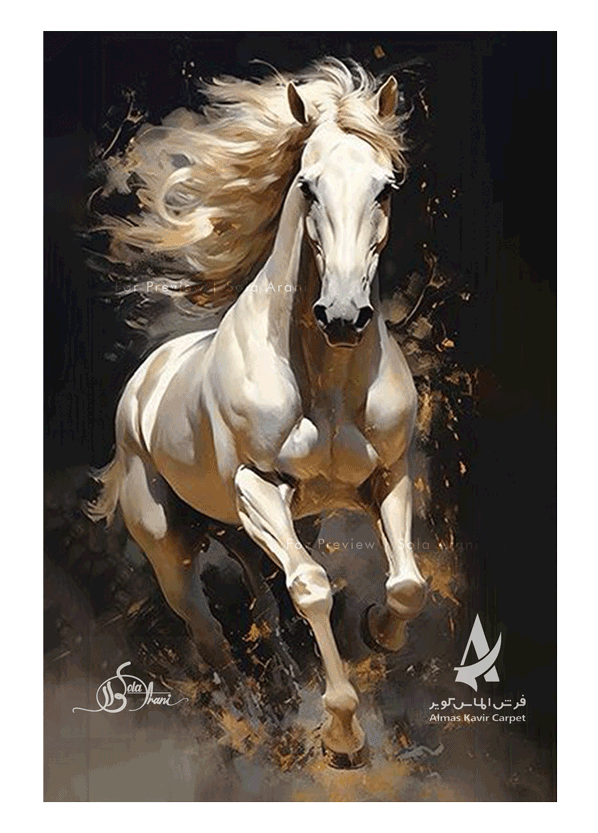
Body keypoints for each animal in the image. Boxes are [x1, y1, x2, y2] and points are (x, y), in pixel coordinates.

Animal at [87, 59, 428, 769]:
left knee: (266, 608)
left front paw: (378, 633)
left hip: (245, 532)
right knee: (212, 633)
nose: (344, 316)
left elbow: (405, 585)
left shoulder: (389, 476)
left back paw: (289, 690)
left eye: (385, 188)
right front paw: (343, 732)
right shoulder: (257, 487)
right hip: (175, 550)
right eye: (308, 184)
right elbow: (313, 588)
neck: (325, 382)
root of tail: (144, 381)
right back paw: (255, 718)